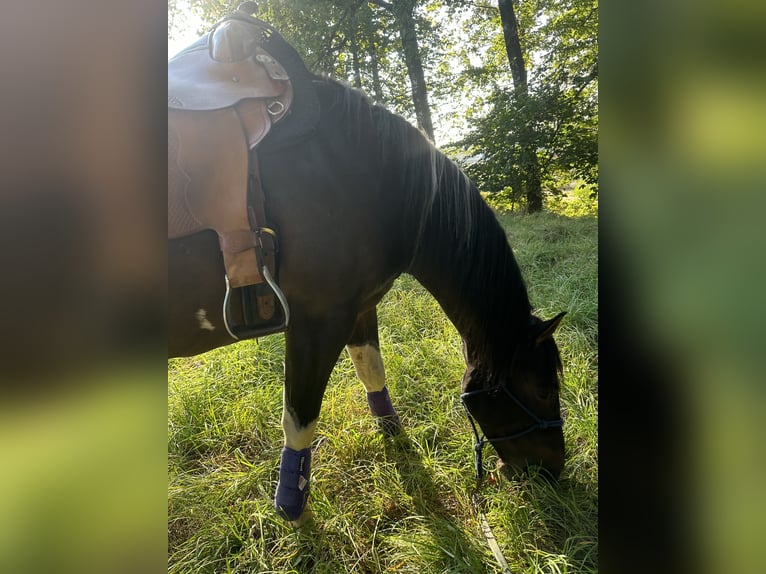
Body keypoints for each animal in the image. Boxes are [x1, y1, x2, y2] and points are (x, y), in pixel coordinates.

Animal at [168, 11, 566, 526]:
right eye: (542, 390)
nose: (555, 470)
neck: (362, 174)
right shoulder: (316, 321)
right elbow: (300, 417)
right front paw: (291, 504)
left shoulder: (358, 307)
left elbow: (371, 370)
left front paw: (393, 433)